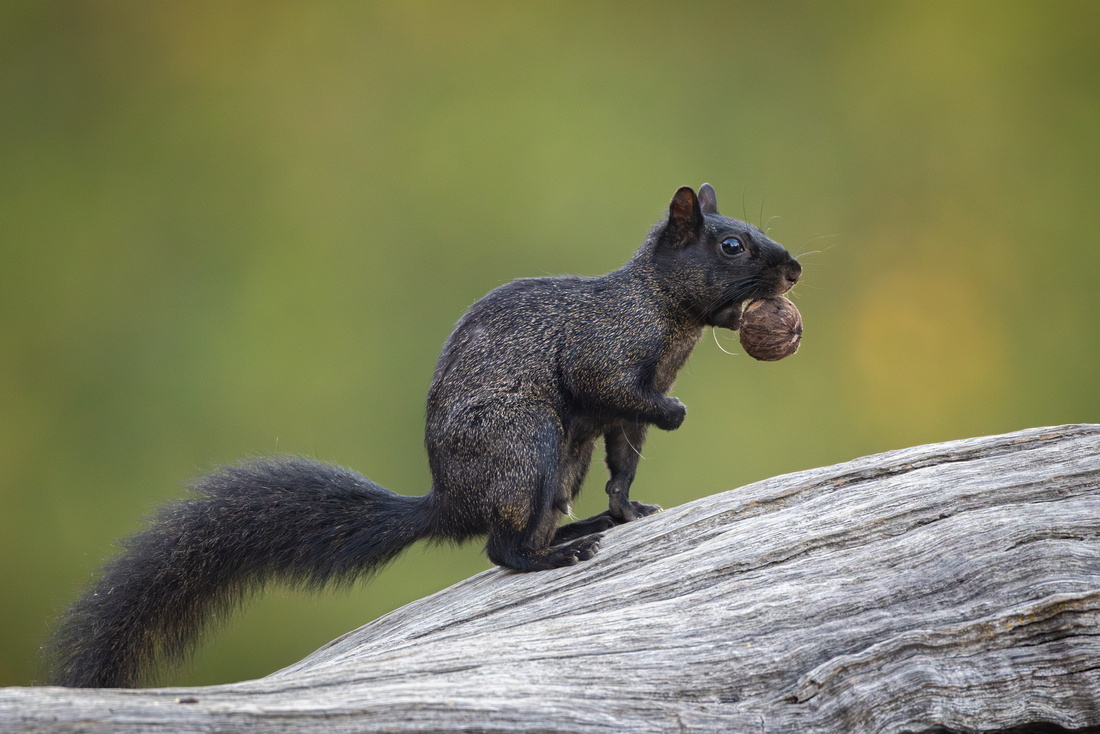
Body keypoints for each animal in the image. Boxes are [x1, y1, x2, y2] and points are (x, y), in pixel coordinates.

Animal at [47, 184, 800, 691]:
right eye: (731, 245)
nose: (794, 269)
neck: (663, 314)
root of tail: (449, 502)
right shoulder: (605, 357)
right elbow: (619, 392)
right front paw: (677, 415)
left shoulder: (619, 423)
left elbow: (625, 463)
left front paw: (629, 508)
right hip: (528, 446)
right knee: (502, 551)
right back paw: (559, 555)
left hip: (563, 461)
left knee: (532, 525)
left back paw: (581, 528)